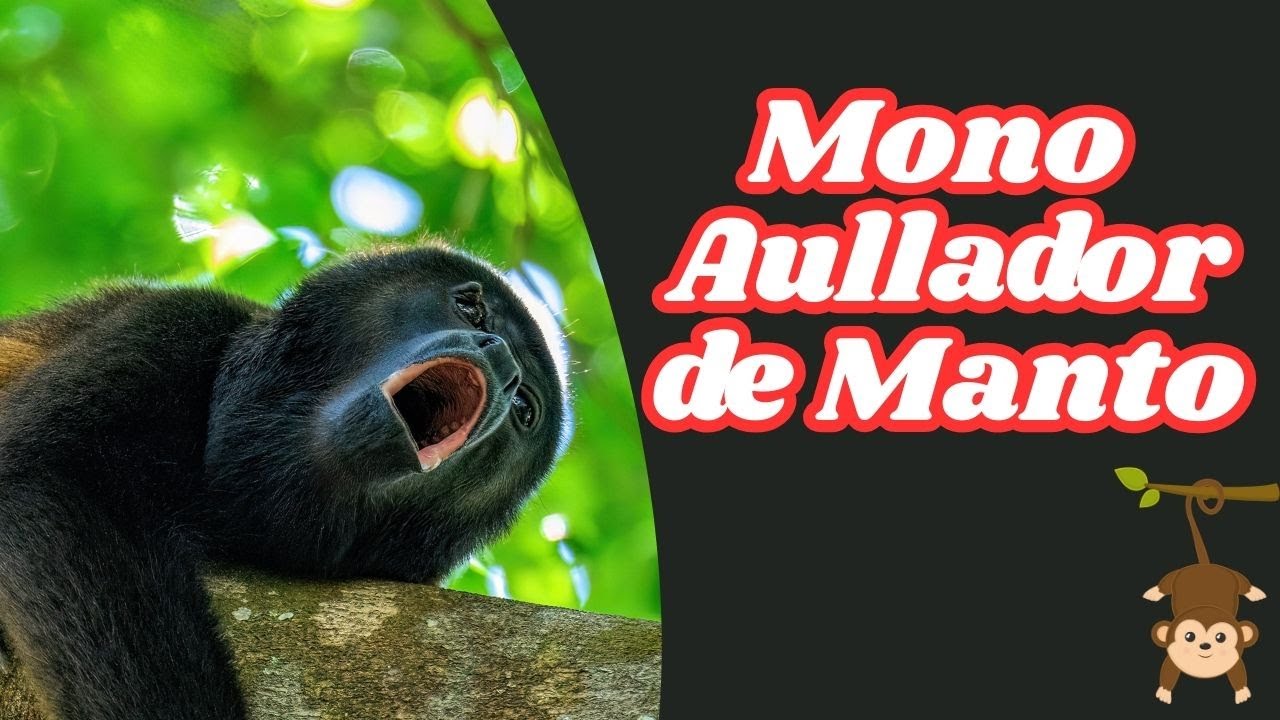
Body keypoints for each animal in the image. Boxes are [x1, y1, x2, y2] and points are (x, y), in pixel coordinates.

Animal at [1143, 479, 1267, 705]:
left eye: (1220, 637)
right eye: (1189, 636)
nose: (1205, 646)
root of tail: (1205, 565)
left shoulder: (1236, 660)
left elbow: (1238, 672)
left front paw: (1242, 693)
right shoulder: (1171, 658)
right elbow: (1168, 671)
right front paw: (1164, 693)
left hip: (1231, 574)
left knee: (1242, 581)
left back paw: (1255, 592)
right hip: (1179, 574)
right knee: (1167, 581)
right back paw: (1153, 592)